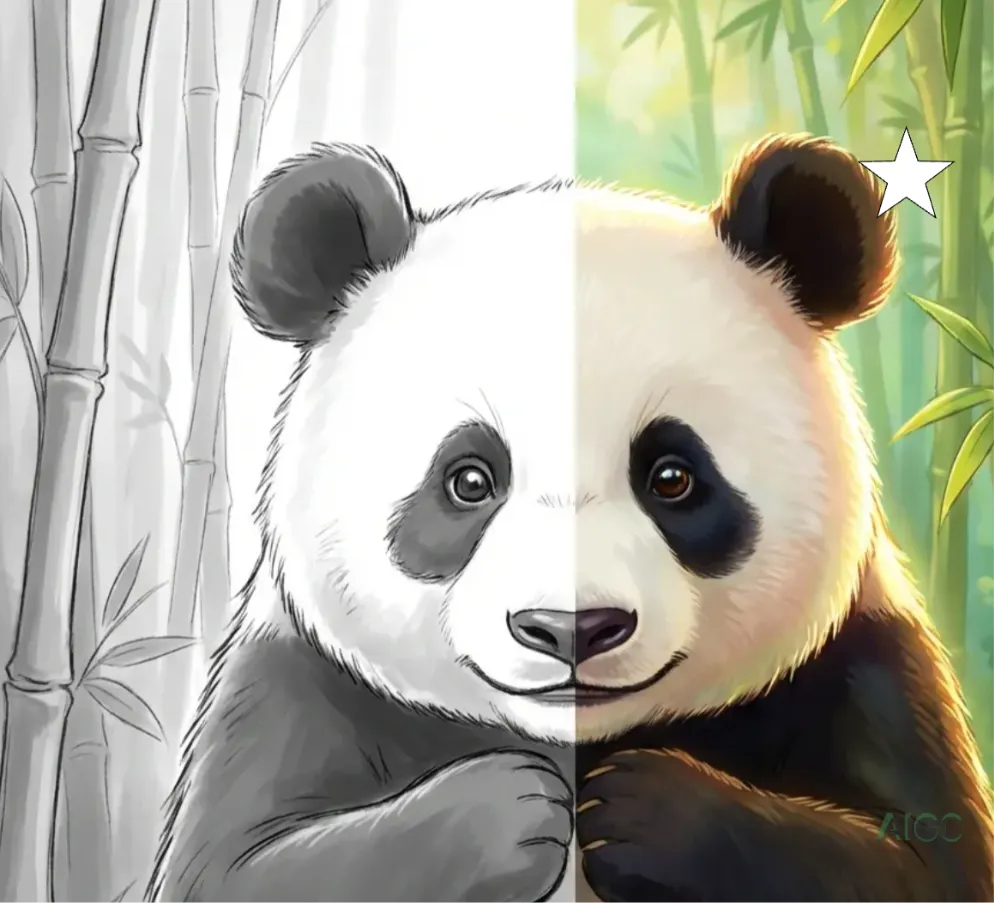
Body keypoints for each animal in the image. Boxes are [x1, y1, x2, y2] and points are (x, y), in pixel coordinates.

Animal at [146, 136, 994, 903]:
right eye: (468, 479)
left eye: (672, 477)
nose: (569, 628)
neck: (570, 737)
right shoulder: (300, 678)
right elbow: (240, 868)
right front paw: (510, 813)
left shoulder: (864, 666)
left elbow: (924, 863)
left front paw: (643, 811)